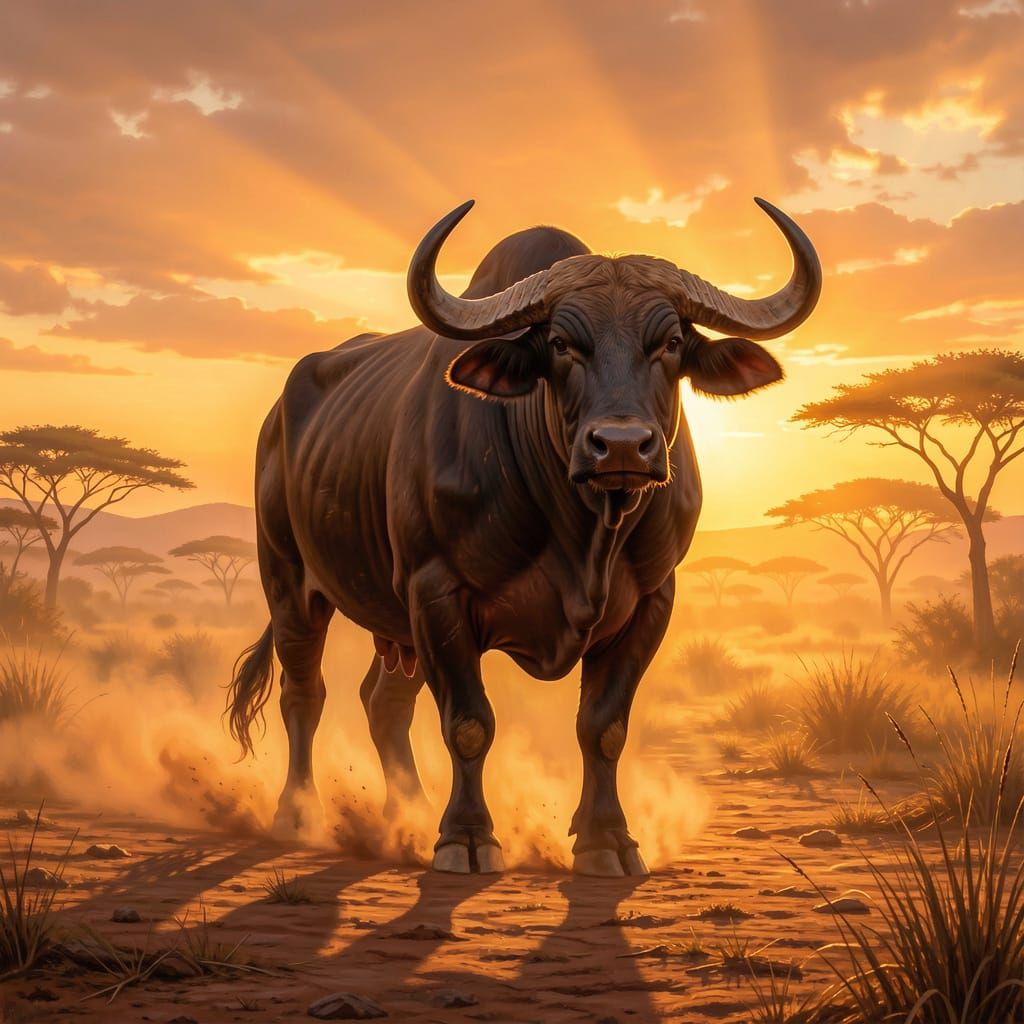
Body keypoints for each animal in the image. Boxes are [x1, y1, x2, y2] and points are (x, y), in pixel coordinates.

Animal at [227, 198, 820, 876]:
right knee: (305, 693)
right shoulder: (437, 593)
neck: (583, 532)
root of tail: (278, 417)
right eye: (561, 345)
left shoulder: (651, 601)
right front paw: (466, 838)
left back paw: (407, 814)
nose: (622, 445)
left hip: (393, 625)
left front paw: (607, 840)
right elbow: (468, 723)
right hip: (291, 585)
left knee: (383, 702)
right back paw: (299, 815)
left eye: (670, 342)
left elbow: (604, 726)